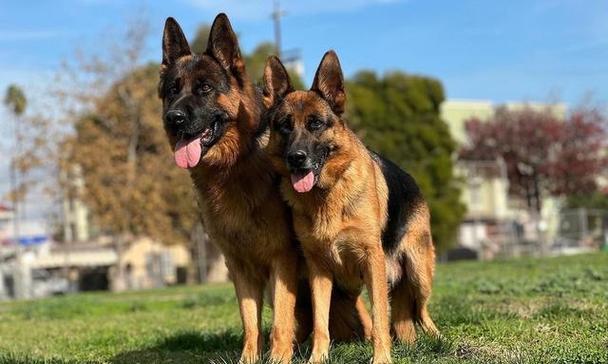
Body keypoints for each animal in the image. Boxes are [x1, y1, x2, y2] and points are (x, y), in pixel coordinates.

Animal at [159, 14, 370, 364]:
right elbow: (251, 324)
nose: (172, 119)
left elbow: (280, 322)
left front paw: (279, 357)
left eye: (205, 89)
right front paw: (249, 358)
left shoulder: (281, 259)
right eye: (172, 91)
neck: (234, 165)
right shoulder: (239, 266)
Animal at [264, 52, 440, 364]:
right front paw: (317, 358)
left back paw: (437, 339)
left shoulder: (372, 261)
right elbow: (321, 323)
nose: (296, 158)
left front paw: (381, 358)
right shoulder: (319, 271)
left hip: (419, 273)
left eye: (315, 124)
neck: (327, 195)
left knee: (422, 311)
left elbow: (380, 319)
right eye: (285, 125)